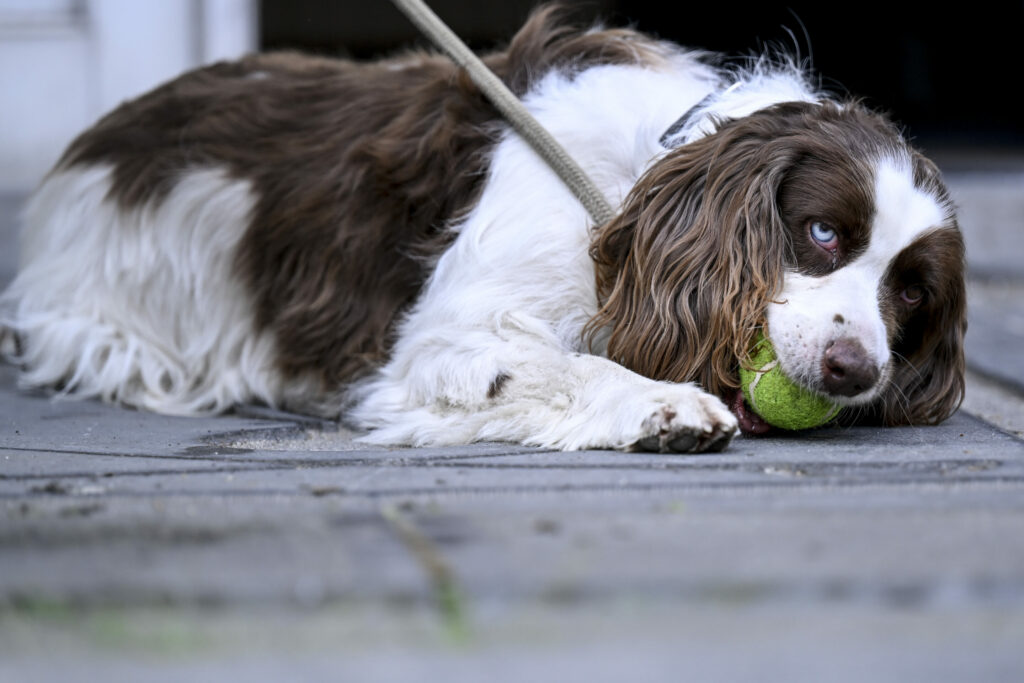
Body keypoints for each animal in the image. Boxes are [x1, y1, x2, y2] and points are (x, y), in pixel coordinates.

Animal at [0, 7, 962, 454]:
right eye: (822, 233)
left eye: (912, 292)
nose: (853, 370)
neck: (626, 192)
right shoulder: (447, 338)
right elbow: (562, 365)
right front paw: (663, 403)